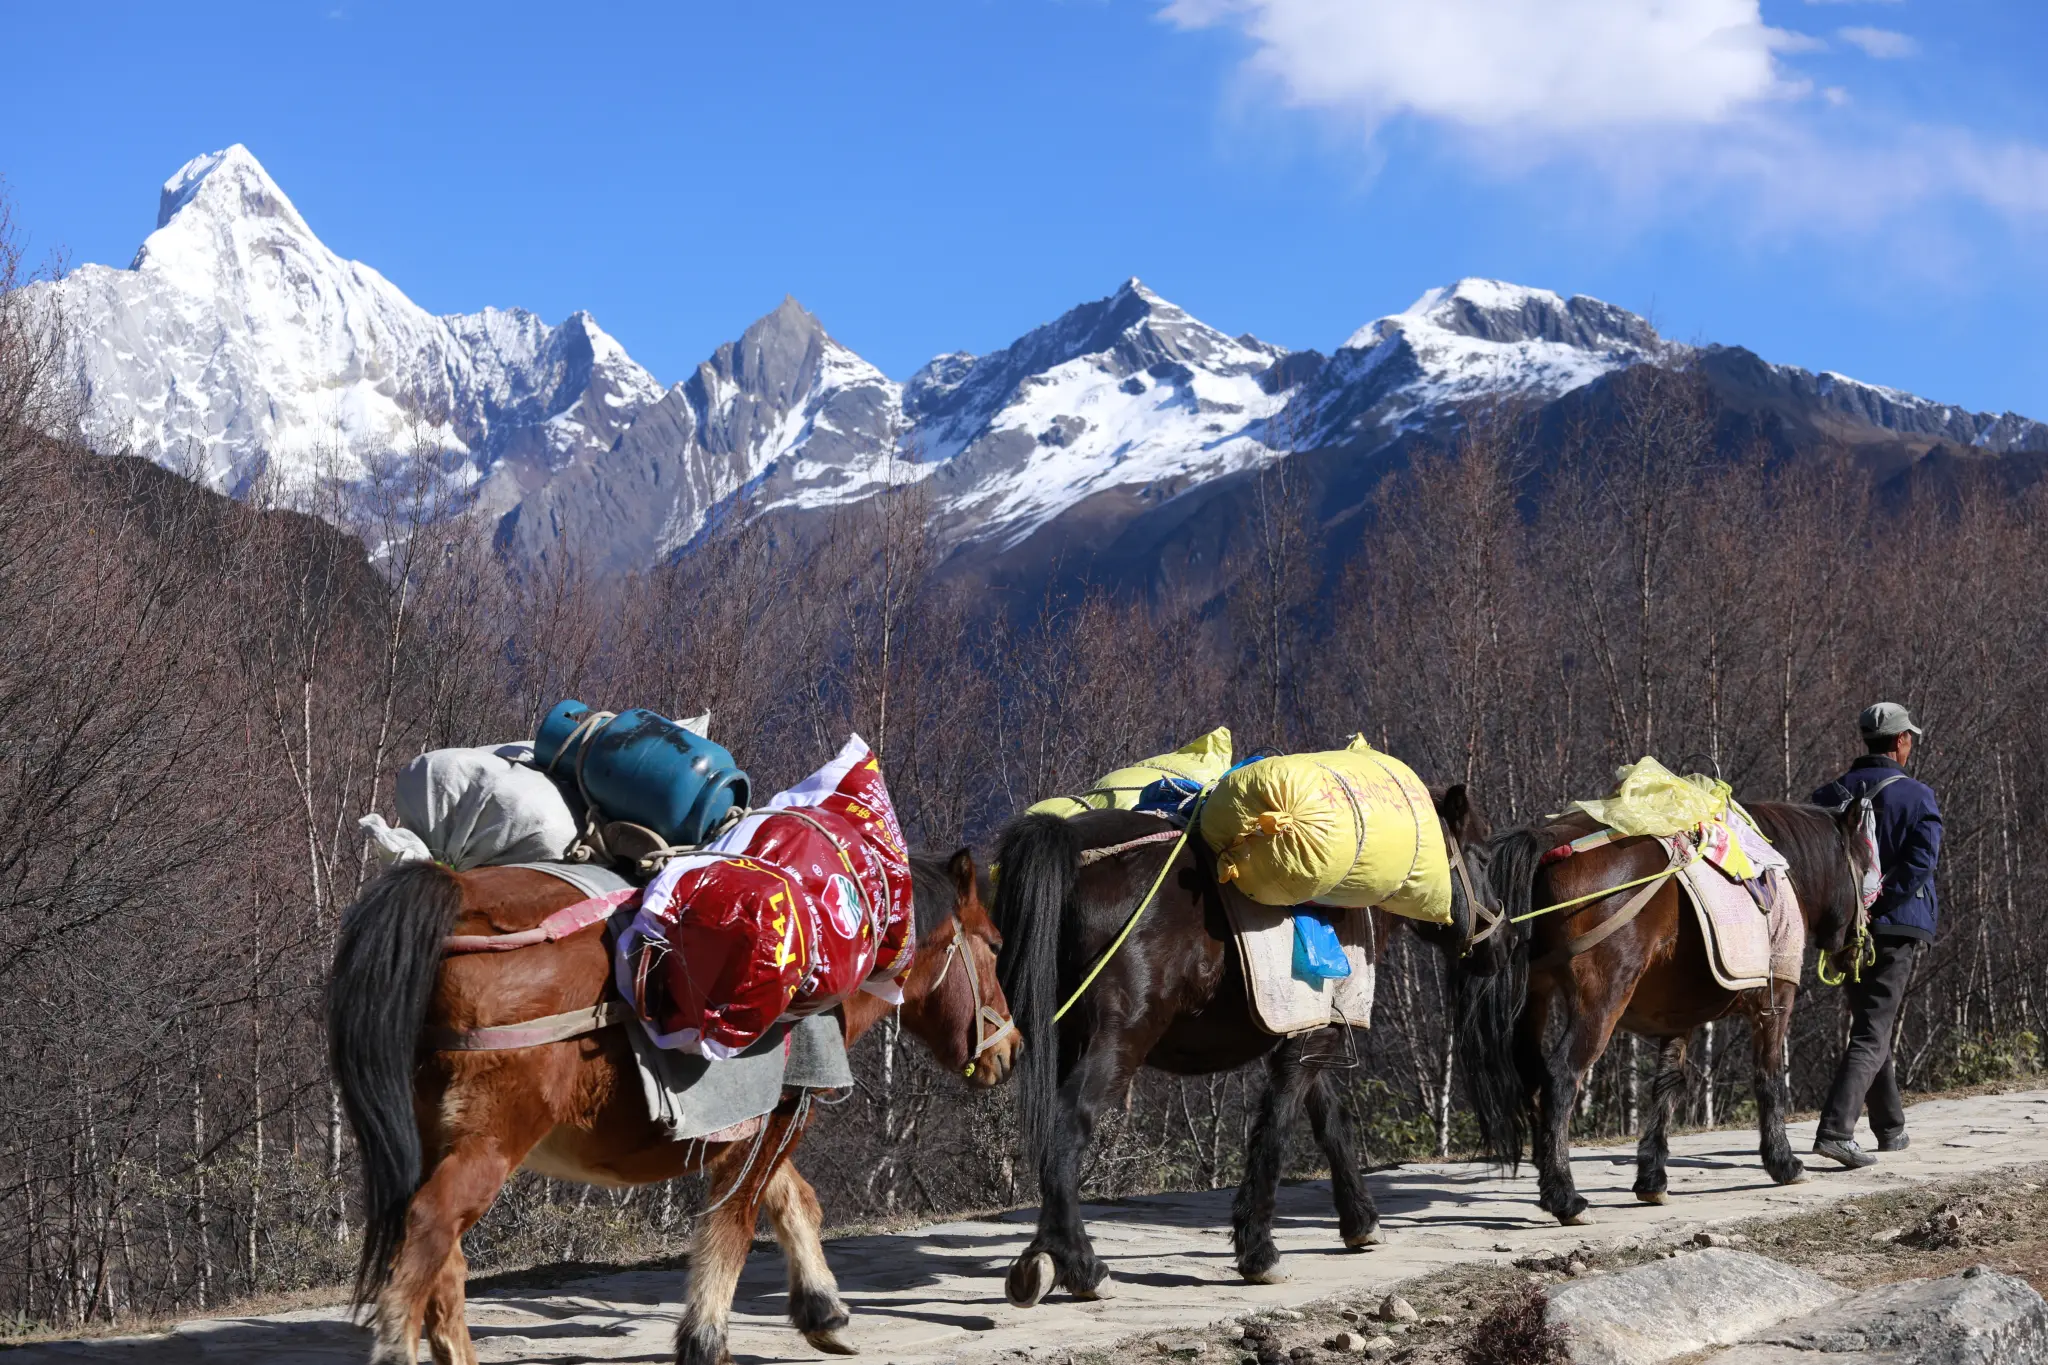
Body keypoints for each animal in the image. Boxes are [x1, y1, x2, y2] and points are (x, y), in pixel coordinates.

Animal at [327, 849, 1017, 1365]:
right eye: (993, 944)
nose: (1011, 1047)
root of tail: (460, 894)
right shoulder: (770, 1126)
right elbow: (732, 1227)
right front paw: (706, 1340)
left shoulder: (757, 1126)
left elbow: (793, 1200)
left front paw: (824, 1310)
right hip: (487, 1145)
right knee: (428, 1229)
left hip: (438, 1139)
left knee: (443, 1261)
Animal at [989, 785, 1498, 1306]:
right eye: (1479, 857)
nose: (1497, 945)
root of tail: (1073, 847)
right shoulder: (1311, 1040)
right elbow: (1276, 1129)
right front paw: (1259, 1251)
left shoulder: (1307, 1032)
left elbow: (1330, 1122)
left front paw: (1361, 1221)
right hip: (1119, 1039)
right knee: (1067, 1124)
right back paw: (1081, 1264)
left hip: (1061, 1040)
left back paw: (1042, 1256)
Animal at [1458, 801, 1872, 1226]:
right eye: (1866, 866)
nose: (1859, 946)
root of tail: (1550, 839)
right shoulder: (1775, 1004)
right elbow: (1769, 1079)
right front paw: (1784, 1162)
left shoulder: (1678, 1018)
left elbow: (1667, 1085)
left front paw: (1652, 1177)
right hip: (1601, 1000)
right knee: (1560, 1077)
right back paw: (1564, 1196)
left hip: (1535, 998)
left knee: (1533, 1076)